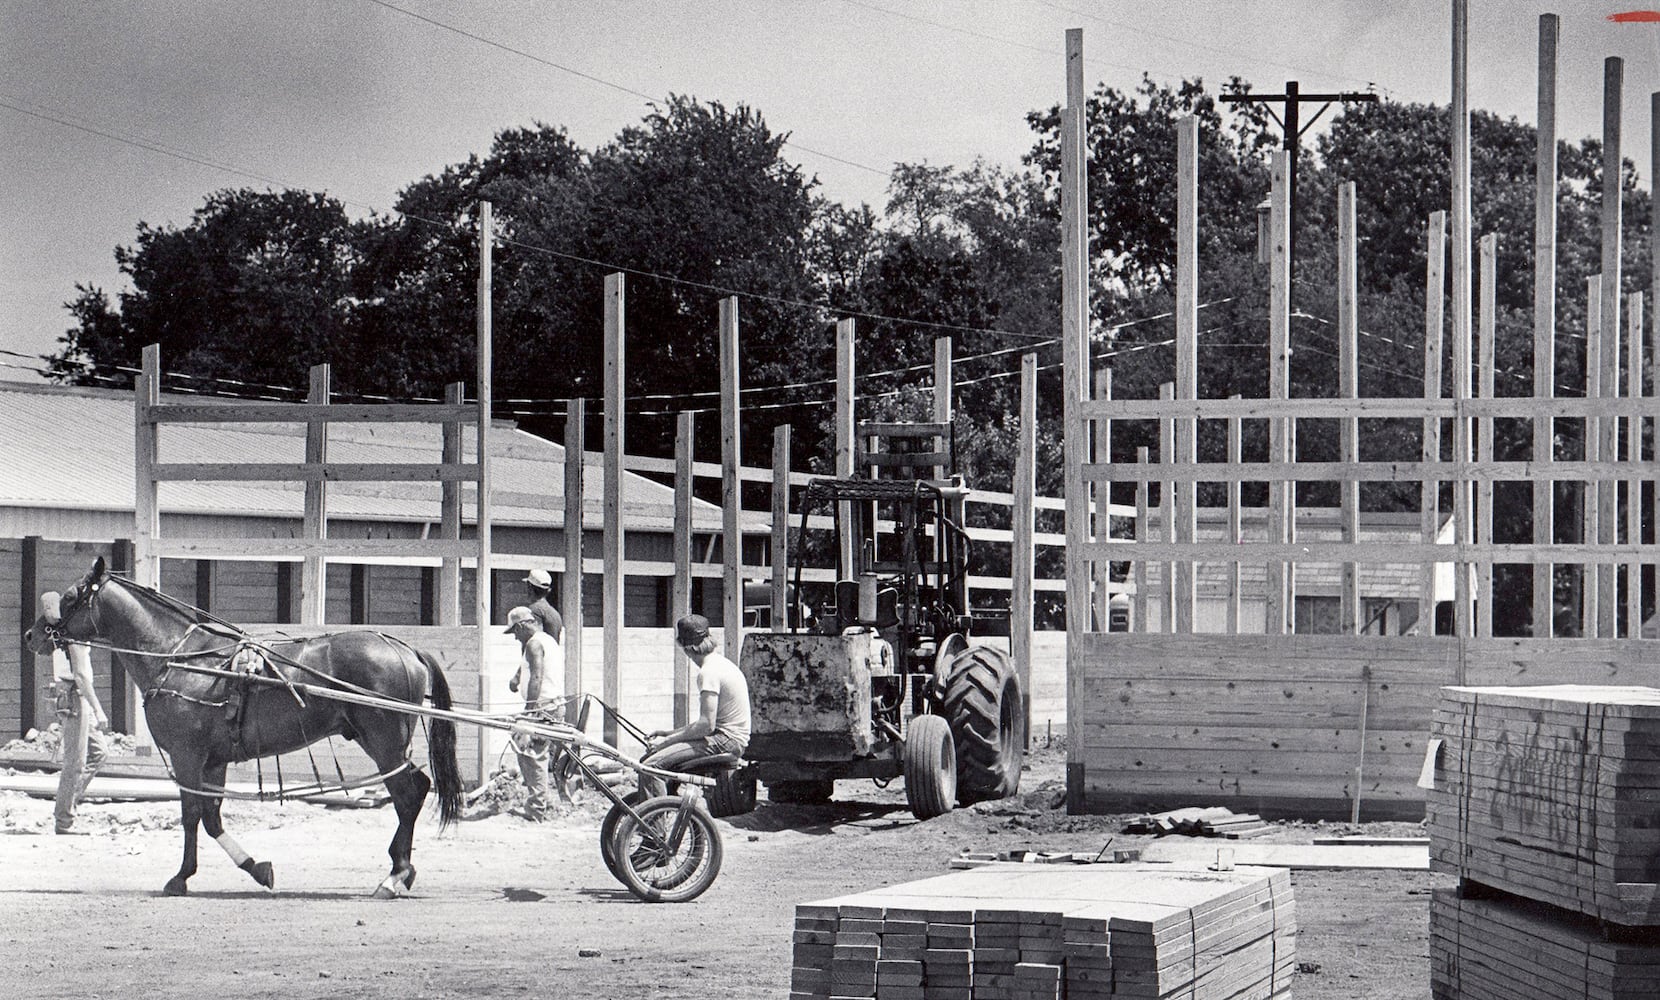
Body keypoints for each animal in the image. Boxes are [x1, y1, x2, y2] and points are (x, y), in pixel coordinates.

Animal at [24, 551, 468, 897]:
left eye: (69, 597)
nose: (33, 634)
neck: (181, 658)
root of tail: (405, 649)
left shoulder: (188, 756)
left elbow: (192, 815)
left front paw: (180, 877)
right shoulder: (213, 760)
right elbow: (212, 817)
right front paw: (256, 868)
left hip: (384, 742)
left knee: (409, 794)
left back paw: (395, 875)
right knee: (414, 790)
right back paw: (400, 871)